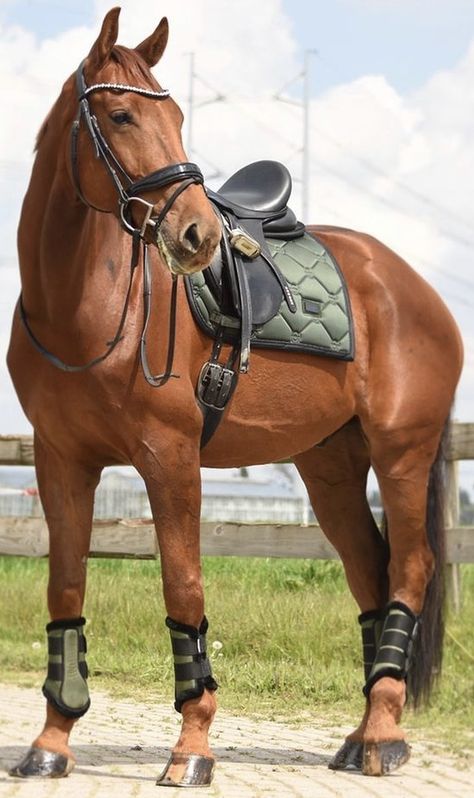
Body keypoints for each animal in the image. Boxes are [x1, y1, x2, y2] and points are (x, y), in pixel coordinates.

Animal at [5, 6, 462, 792]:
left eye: (178, 116)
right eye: (121, 114)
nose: (197, 234)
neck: (84, 305)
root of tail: (409, 284)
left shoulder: (170, 457)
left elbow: (184, 589)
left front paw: (192, 746)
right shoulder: (61, 461)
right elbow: (65, 591)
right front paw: (52, 740)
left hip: (402, 454)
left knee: (408, 570)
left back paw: (381, 737)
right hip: (330, 466)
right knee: (369, 573)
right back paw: (360, 733)